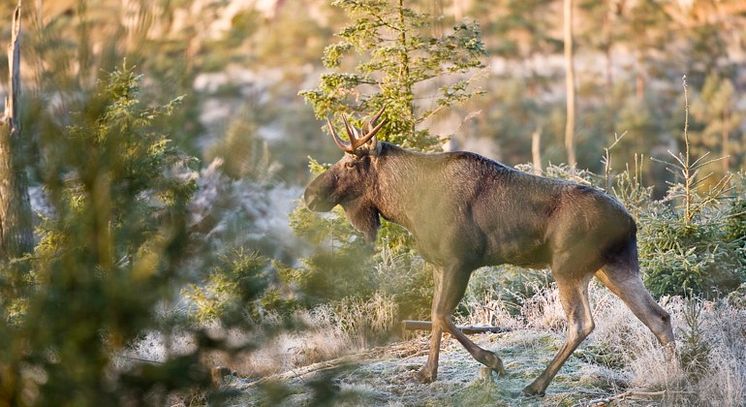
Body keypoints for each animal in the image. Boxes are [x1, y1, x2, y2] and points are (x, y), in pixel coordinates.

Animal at [300, 108, 676, 396]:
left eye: (350, 164)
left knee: (582, 323)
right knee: (658, 316)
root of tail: (630, 222)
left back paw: (536, 385)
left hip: (568, 266)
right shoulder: (440, 264)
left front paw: (493, 361)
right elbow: (435, 316)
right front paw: (427, 373)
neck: (408, 206)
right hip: (612, 267)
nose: (308, 195)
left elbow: (440, 314)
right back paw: (676, 375)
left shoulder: (461, 260)